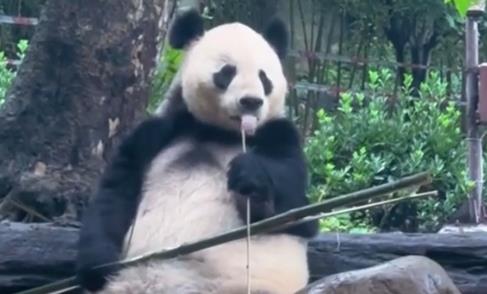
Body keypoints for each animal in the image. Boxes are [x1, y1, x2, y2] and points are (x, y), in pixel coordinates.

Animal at [75, 8, 320, 292]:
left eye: (264, 77)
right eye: (227, 72)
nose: (251, 102)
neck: (217, 131)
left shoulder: (280, 134)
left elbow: (295, 210)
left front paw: (251, 177)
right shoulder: (158, 131)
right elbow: (116, 192)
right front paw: (98, 265)